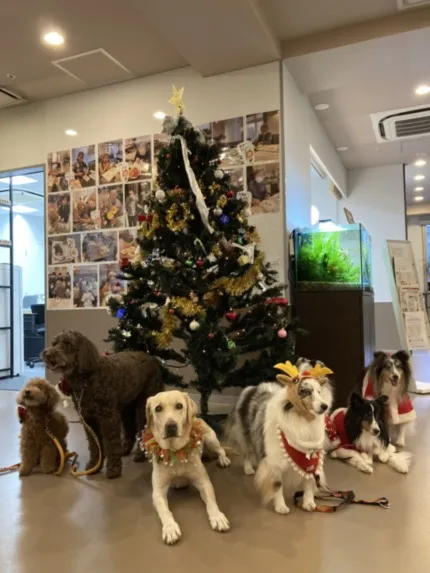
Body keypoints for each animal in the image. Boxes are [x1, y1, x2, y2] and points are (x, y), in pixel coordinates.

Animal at [42, 330, 163, 479]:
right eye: (54, 343)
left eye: (68, 344)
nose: (47, 354)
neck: (86, 381)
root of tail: (153, 358)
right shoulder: (88, 419)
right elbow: (95, 445)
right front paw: (94, 466)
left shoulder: (108, 419)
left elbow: (111, 444)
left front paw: (114, 469)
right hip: (126, 407)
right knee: (130, 428)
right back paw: (124, 449)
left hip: (142, 405)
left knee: (142, 429)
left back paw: (140, 455)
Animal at [142, 390, 230, 545]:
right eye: (158, 408)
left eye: (179, 406)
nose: (171, 426)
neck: (175, 452)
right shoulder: (158, 492)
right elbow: (164, 511)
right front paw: (170, 528)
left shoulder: (204, 483)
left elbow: (212, 502)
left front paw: (217, 517)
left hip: (211, 439)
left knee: (221, 450)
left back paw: (223, 459)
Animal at [228, 361, 333, 514]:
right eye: (306, 391)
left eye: (319, 392)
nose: (325, 406)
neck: (302, 421)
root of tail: (252, 387)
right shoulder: (275, 462)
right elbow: (277, 486)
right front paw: (281, 507)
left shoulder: (311, 461)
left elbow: (309, 482)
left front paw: (308, 502)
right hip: (244, 434)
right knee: (247, 452)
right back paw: (248, 468)